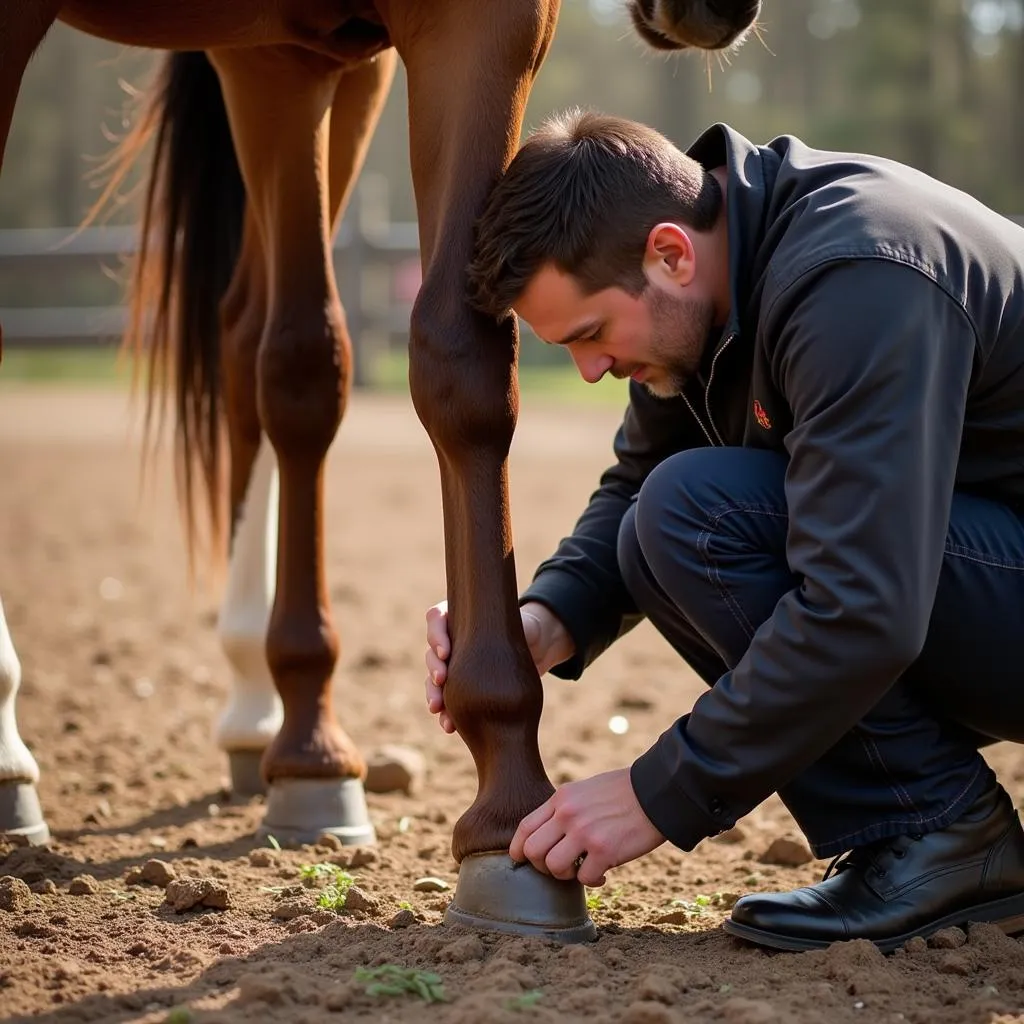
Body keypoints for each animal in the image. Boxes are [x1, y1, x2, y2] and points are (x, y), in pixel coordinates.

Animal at [0, 0, 761, 937]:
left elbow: (395, 358)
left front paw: (420, 782)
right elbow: (324, 358)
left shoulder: (424, 38)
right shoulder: (271, 62)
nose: (720, 11)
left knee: (243, 331)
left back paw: (263, 716)